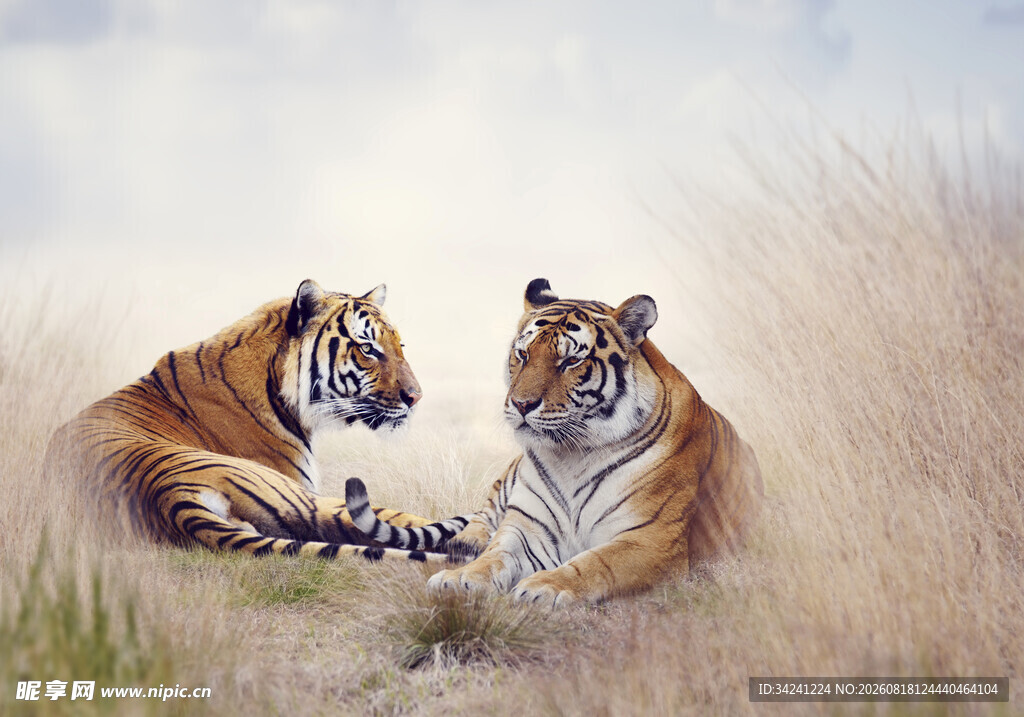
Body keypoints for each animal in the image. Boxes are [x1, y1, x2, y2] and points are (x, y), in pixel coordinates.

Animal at [344, 278, 764, 604]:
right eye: (522, 354)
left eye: (570, 361)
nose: (521, 404)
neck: (573, 455)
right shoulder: (527, 526)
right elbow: (496, 554)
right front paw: (461, 578)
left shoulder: (651, 539)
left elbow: (595, 562)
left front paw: (545, 587)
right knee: (481, 518)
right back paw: (467, 543)